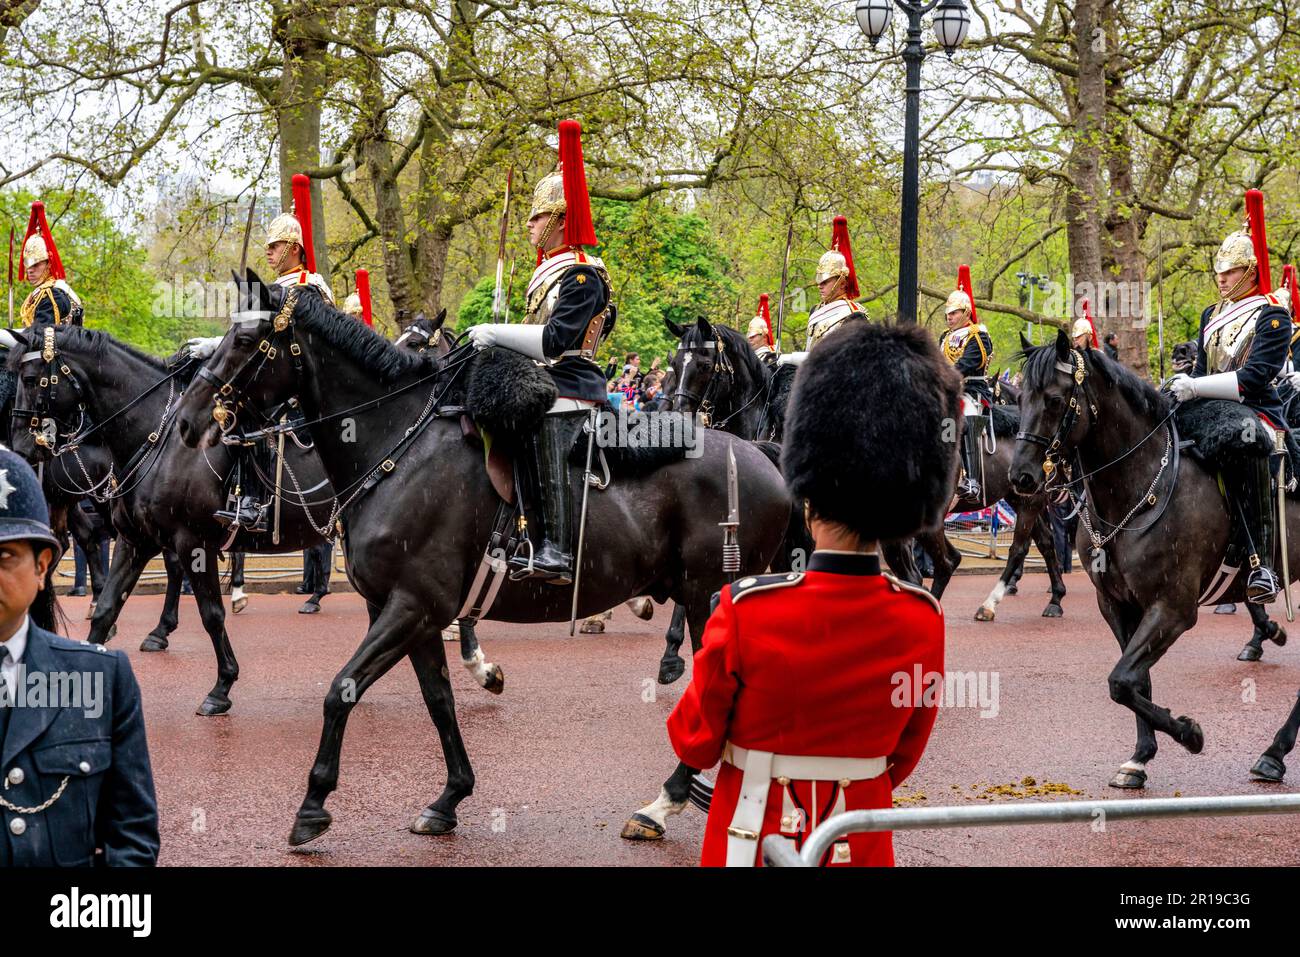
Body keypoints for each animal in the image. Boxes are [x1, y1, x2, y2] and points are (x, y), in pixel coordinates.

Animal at [172, 269, 790, 842]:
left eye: (246, 339)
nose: (186, 422)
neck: (397, 446)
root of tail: (763, 455)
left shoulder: (411, 605)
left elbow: (340, 690)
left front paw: (312, 806)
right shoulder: (416, 615)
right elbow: (438, 701)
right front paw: (449, 797)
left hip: (708, 597)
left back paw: (667, 802)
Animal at [1013, 332, 1289, 790]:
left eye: (1053, 399)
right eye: (1019, 398)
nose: (1020, 477)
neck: (1138, 492)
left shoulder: (1173, 608)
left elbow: (1121, 681)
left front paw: (1190, 734)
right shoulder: (1118, 605)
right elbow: (1133, 682)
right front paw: (1140, 758)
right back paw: (1274, 752)